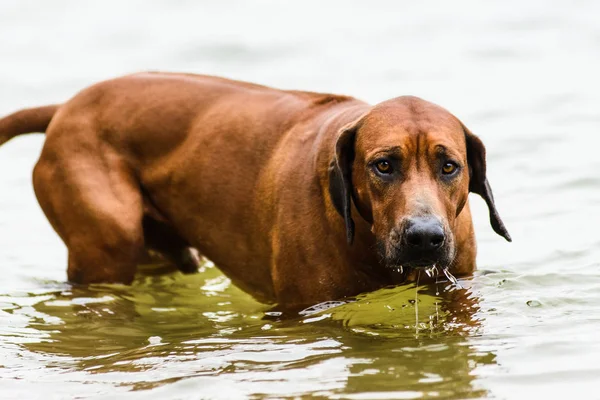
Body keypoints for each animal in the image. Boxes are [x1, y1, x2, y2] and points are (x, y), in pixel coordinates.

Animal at [0, 72, 510, 310]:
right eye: (383, 165)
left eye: (449, 166)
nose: (424, 237)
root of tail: (65, 108)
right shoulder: (301, 311)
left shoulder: (459, 290)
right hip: (106, 244)